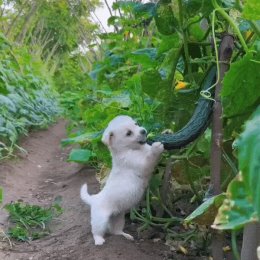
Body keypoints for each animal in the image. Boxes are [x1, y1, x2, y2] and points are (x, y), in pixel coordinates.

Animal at [80, 116, 164, 246]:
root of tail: (94, 199)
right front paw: (156, 148)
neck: (133, 149)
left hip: (118, 217)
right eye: (128, 133)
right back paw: (99, 241)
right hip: (100, 220)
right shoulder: (141, 164)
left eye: (136, 124)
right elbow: (150, 157)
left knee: (116, 231)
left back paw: (125, 236)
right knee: (96, 231)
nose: (143, 131)